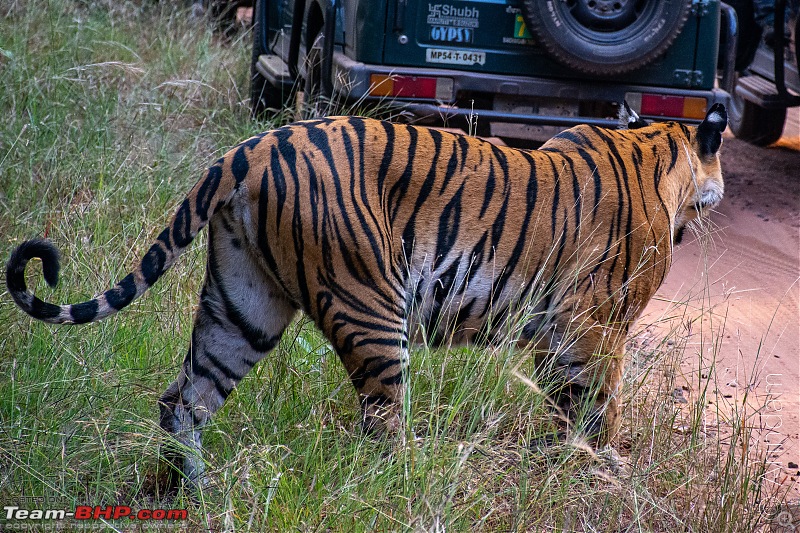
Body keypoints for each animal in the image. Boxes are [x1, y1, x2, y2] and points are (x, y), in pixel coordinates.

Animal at [6, 102, 728, 488]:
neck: (656, 145)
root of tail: (247, 150)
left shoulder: (560, 337)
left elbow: (566, 410)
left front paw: (558, 467)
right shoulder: (595, 328)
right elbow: (598, 411)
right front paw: (598, 476)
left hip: (243, 305)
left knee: (183, 400)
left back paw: (193, 494)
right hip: (372, 306)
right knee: (381, 430)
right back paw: (410, 485)